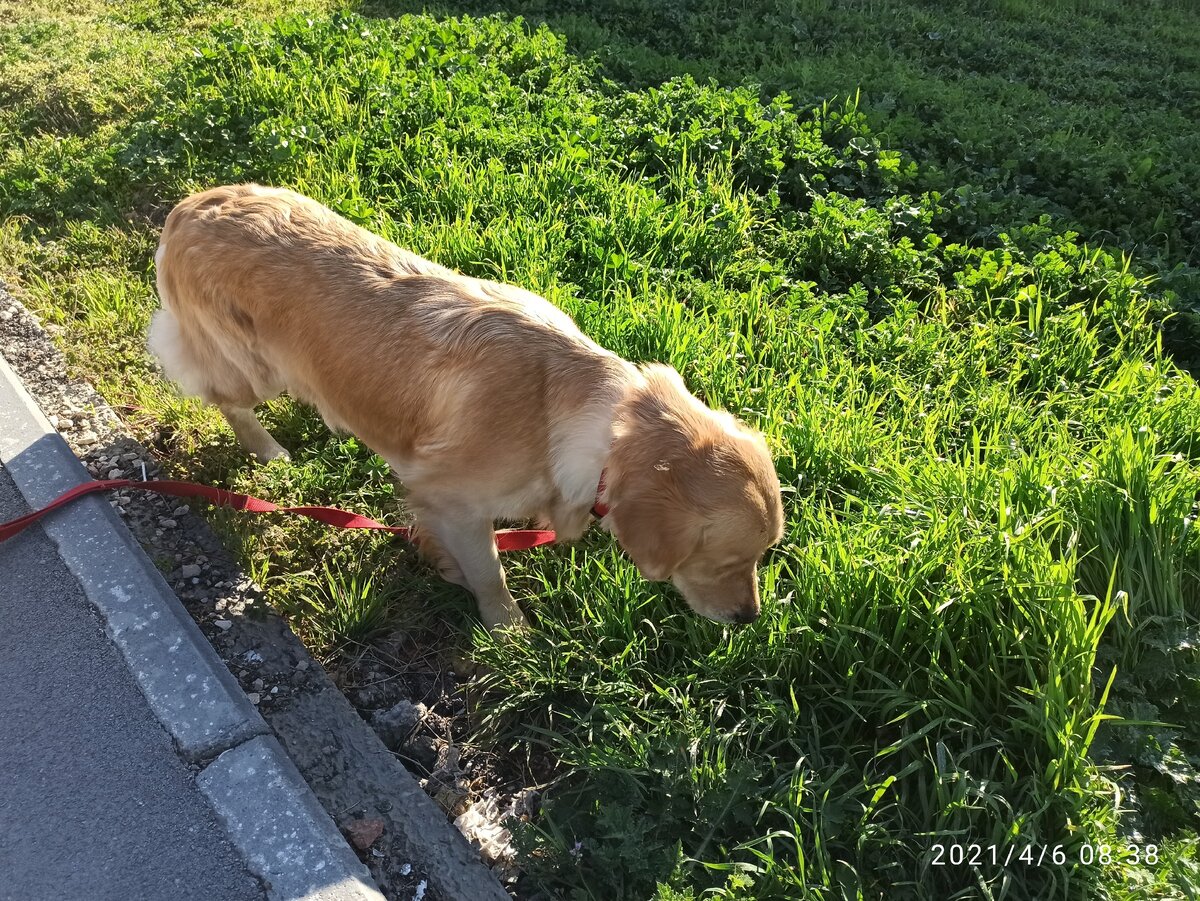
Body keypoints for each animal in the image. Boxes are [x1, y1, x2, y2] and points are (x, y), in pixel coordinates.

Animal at [147, 183, 787, 628]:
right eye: (727, 562)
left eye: (763, 556)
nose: (749, 619)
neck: (584, 417)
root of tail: (190, 207)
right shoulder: (453, 499)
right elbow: (490, 571)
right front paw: (507, 627)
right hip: (248, 368)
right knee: (223, 398)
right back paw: (267, 450)